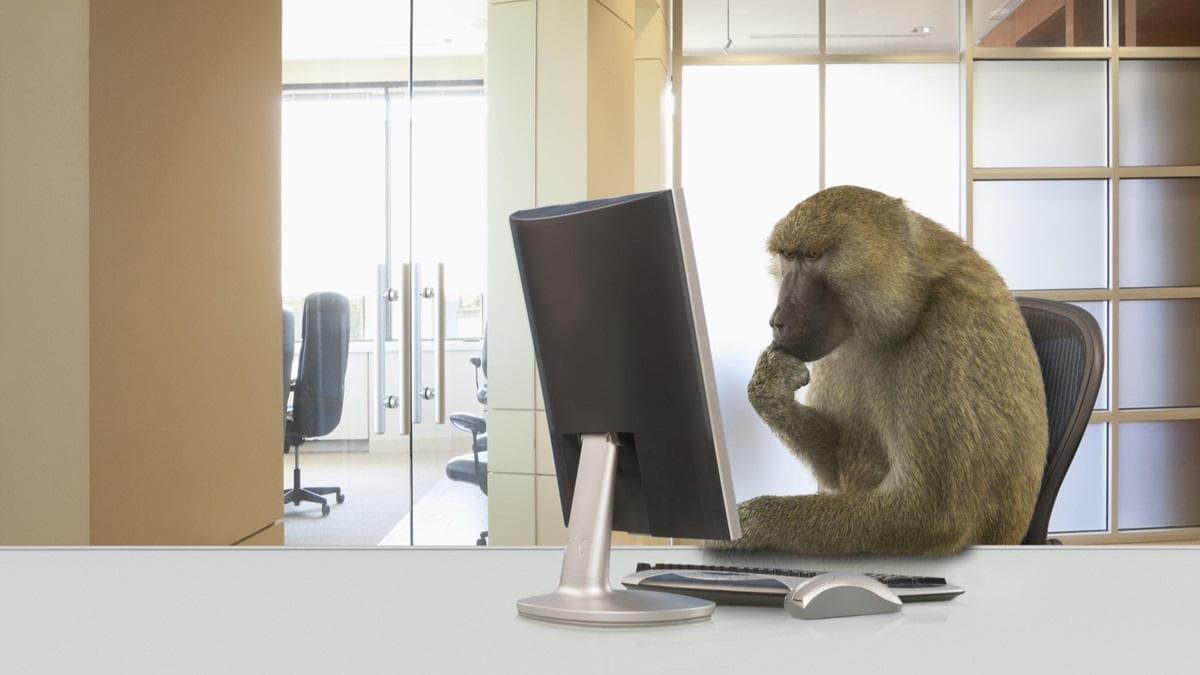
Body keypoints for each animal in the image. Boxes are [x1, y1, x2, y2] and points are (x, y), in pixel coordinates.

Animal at [718, 185, 1048, 556]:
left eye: (813, 256)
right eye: (788, 257)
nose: (778, 322)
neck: (914, 296)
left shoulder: (950, 329)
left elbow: (930, 514)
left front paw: (747, 524)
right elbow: (834, 462)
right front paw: (770, 389)